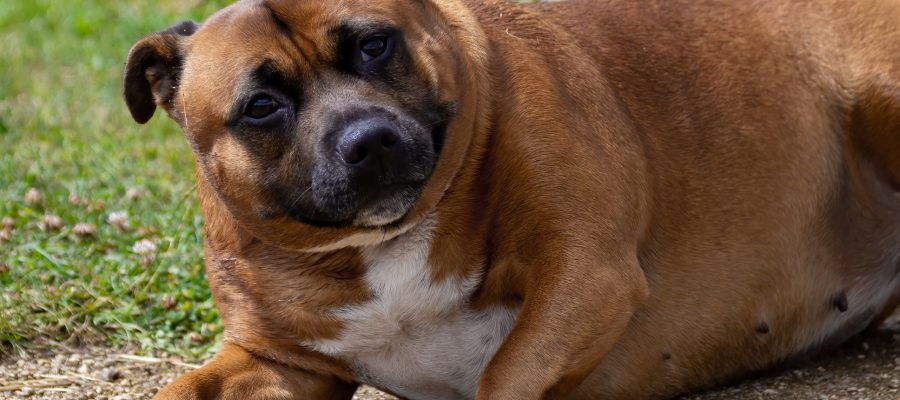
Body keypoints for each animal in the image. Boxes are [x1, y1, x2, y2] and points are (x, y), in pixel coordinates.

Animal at [123, 0, 900, 400]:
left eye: (375, 45)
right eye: (260, 106)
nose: (368, 139)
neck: (380, 245)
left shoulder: (585, 274)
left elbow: (507, 373)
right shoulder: (281, 364)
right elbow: (180, 391)